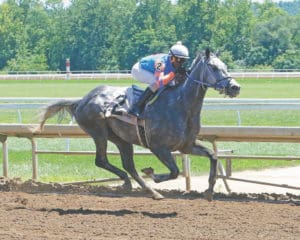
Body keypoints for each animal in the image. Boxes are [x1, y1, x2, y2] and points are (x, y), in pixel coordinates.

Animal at [38, 49, 241, 200]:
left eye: (225, 66)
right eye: (213, 67)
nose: (235, 87)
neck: (180, 106)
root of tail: (82, 100)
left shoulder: (186, 145)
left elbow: (213, 157)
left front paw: (209, 191)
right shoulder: (158, 147)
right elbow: (174, 171)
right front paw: (153, 174)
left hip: (121, 139)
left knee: (128, 165)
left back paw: (147, 190)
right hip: (99, 132)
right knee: (101, 160)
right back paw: (136, 185)